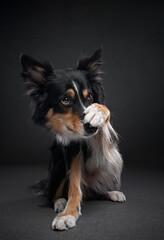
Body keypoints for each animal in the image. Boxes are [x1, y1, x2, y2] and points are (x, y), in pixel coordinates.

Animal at [20, 48, 125, 231]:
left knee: (97, 191)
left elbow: (103, 117)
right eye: (66, 99)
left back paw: (111, 192)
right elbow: (74, 185)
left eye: (89, 97)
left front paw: (97, 112)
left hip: (112, 162)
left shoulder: (106, 141)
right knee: (53, 195)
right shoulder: (71, 148)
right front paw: (68, 213)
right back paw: (61, 202)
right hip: (58, 164)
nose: (91, 128)